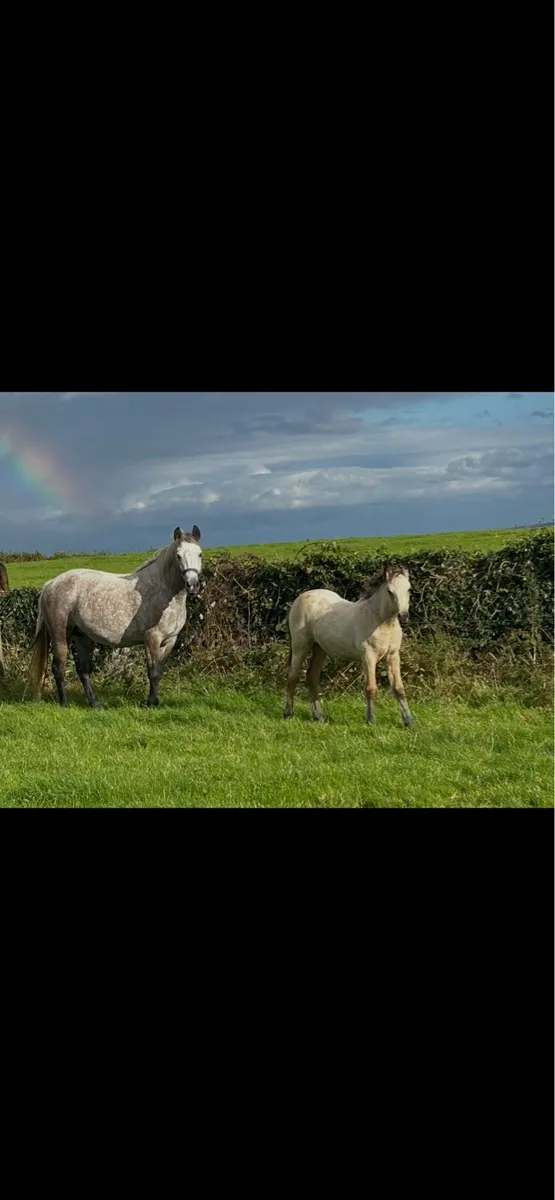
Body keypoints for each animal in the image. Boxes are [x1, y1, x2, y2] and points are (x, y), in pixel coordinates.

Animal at [28, 526, 203, 708]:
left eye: (199, 554)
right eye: (178, 555)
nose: (192, 585)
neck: (163, 592)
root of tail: (51, 583)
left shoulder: (170, 640)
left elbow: (159, 671)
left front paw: (155, 701)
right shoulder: (152, 638)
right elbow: (153, 672)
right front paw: (151, 702)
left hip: (82, 636)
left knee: (83, 670)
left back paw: (95, 704)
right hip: (61, 634)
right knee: (58, 667)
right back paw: (64, 703)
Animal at [284, 565, 414, 727]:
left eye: (409, 589)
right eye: (390, 591)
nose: (404, 616)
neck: (379, 621)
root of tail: (299, 598)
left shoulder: (392, 656)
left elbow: (399, 688)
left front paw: (409, 722)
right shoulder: (368, 656)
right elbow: (370, 688)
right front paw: (371, 721)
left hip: (319, 648)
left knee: (312, 676)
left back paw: (319, 717)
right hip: (300, 645)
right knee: (293, 676)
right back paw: (288, 714)